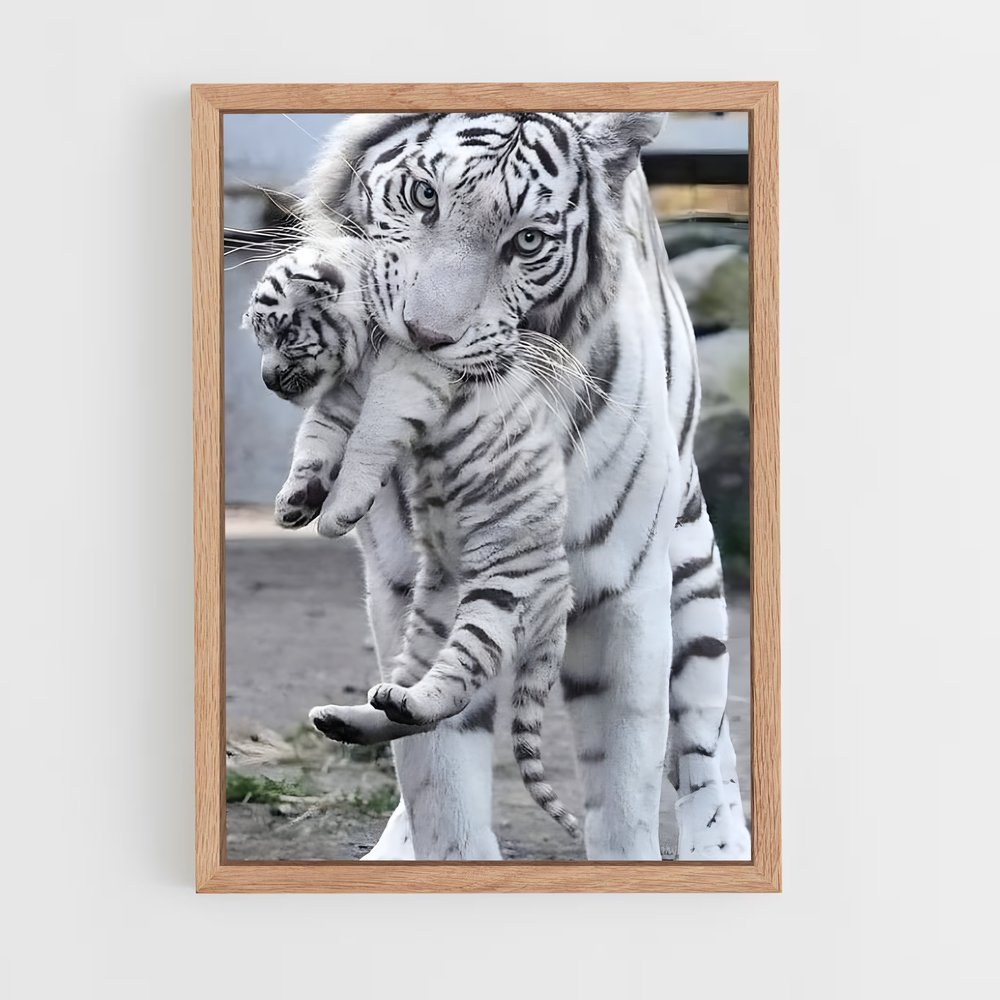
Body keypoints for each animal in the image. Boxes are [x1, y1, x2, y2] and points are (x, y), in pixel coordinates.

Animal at [243, 240, 579, 836]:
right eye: (259, 337)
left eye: (283, 333)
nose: (266, 380)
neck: (363, 354)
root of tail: (562, 602)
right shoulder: (341, 397)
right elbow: (315, 440)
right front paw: (294, 502)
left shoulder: (405, 381)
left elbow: (365, 443)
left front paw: (334, 514)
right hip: (432, 612)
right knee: (408, 698)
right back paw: (350, 717)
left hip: (500, 597)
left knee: (455, 684)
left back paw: (408, 703)